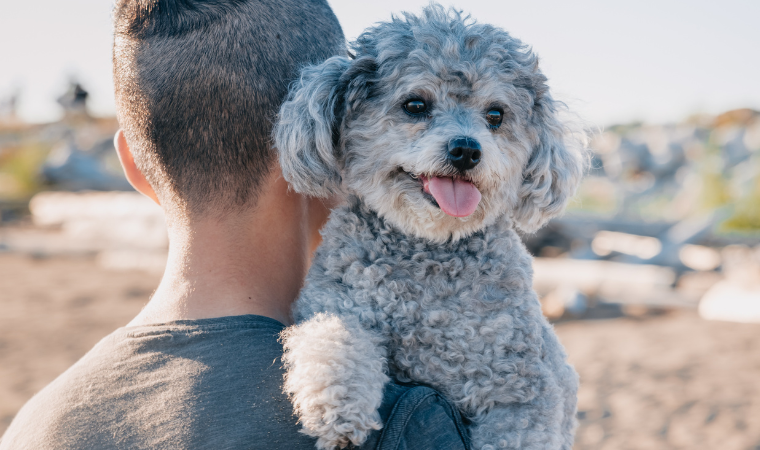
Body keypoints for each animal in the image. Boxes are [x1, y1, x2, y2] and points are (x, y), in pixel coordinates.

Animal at [276, 4, 584, 450]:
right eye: (415, 104)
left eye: (496, 114)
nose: (466, 149)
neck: (431, 249)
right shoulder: (334, 301)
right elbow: (333, 337)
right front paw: (337, 411)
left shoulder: (524, 387)